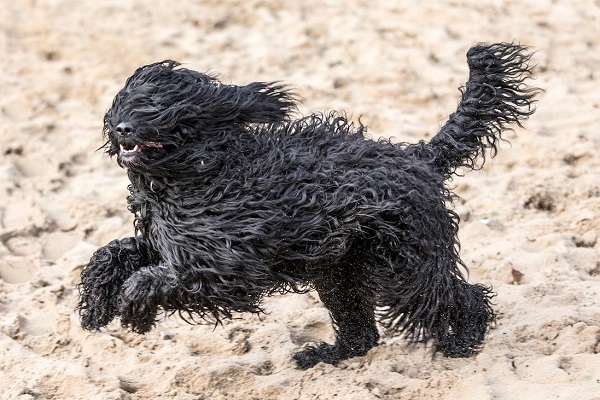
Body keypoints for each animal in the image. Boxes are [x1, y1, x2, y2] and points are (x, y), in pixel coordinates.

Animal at [78, 43, 540, 368]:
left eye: (158, 106)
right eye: (124, 101)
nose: (123, 129)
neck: (203, 171)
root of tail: (419, 157)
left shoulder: (224, 265)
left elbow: (154, 278)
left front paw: (133, 308)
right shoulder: (170, 242)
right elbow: (114, 252)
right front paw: (96, 305)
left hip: (406, 266)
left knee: (459, 295)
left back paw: (464, 340)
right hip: (341, 273)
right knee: (361, 333)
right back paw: (328, 355)